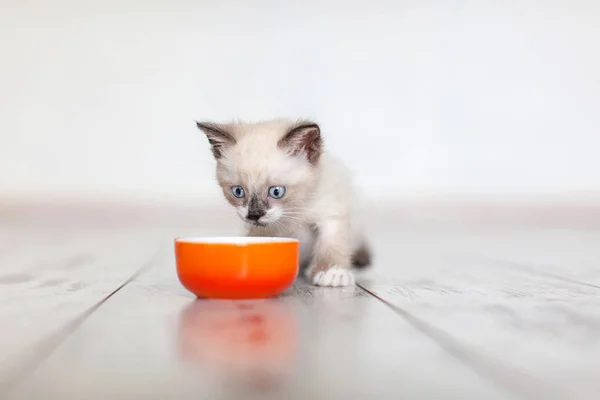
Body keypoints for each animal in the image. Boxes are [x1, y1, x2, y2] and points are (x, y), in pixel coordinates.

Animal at [197, 119, 370, 288]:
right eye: (238, 191)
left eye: (276, 192)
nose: (254, 215)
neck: (294, 210)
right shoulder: (261, 230)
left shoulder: (331, 215)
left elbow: (331, 246)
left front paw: (332, 272)